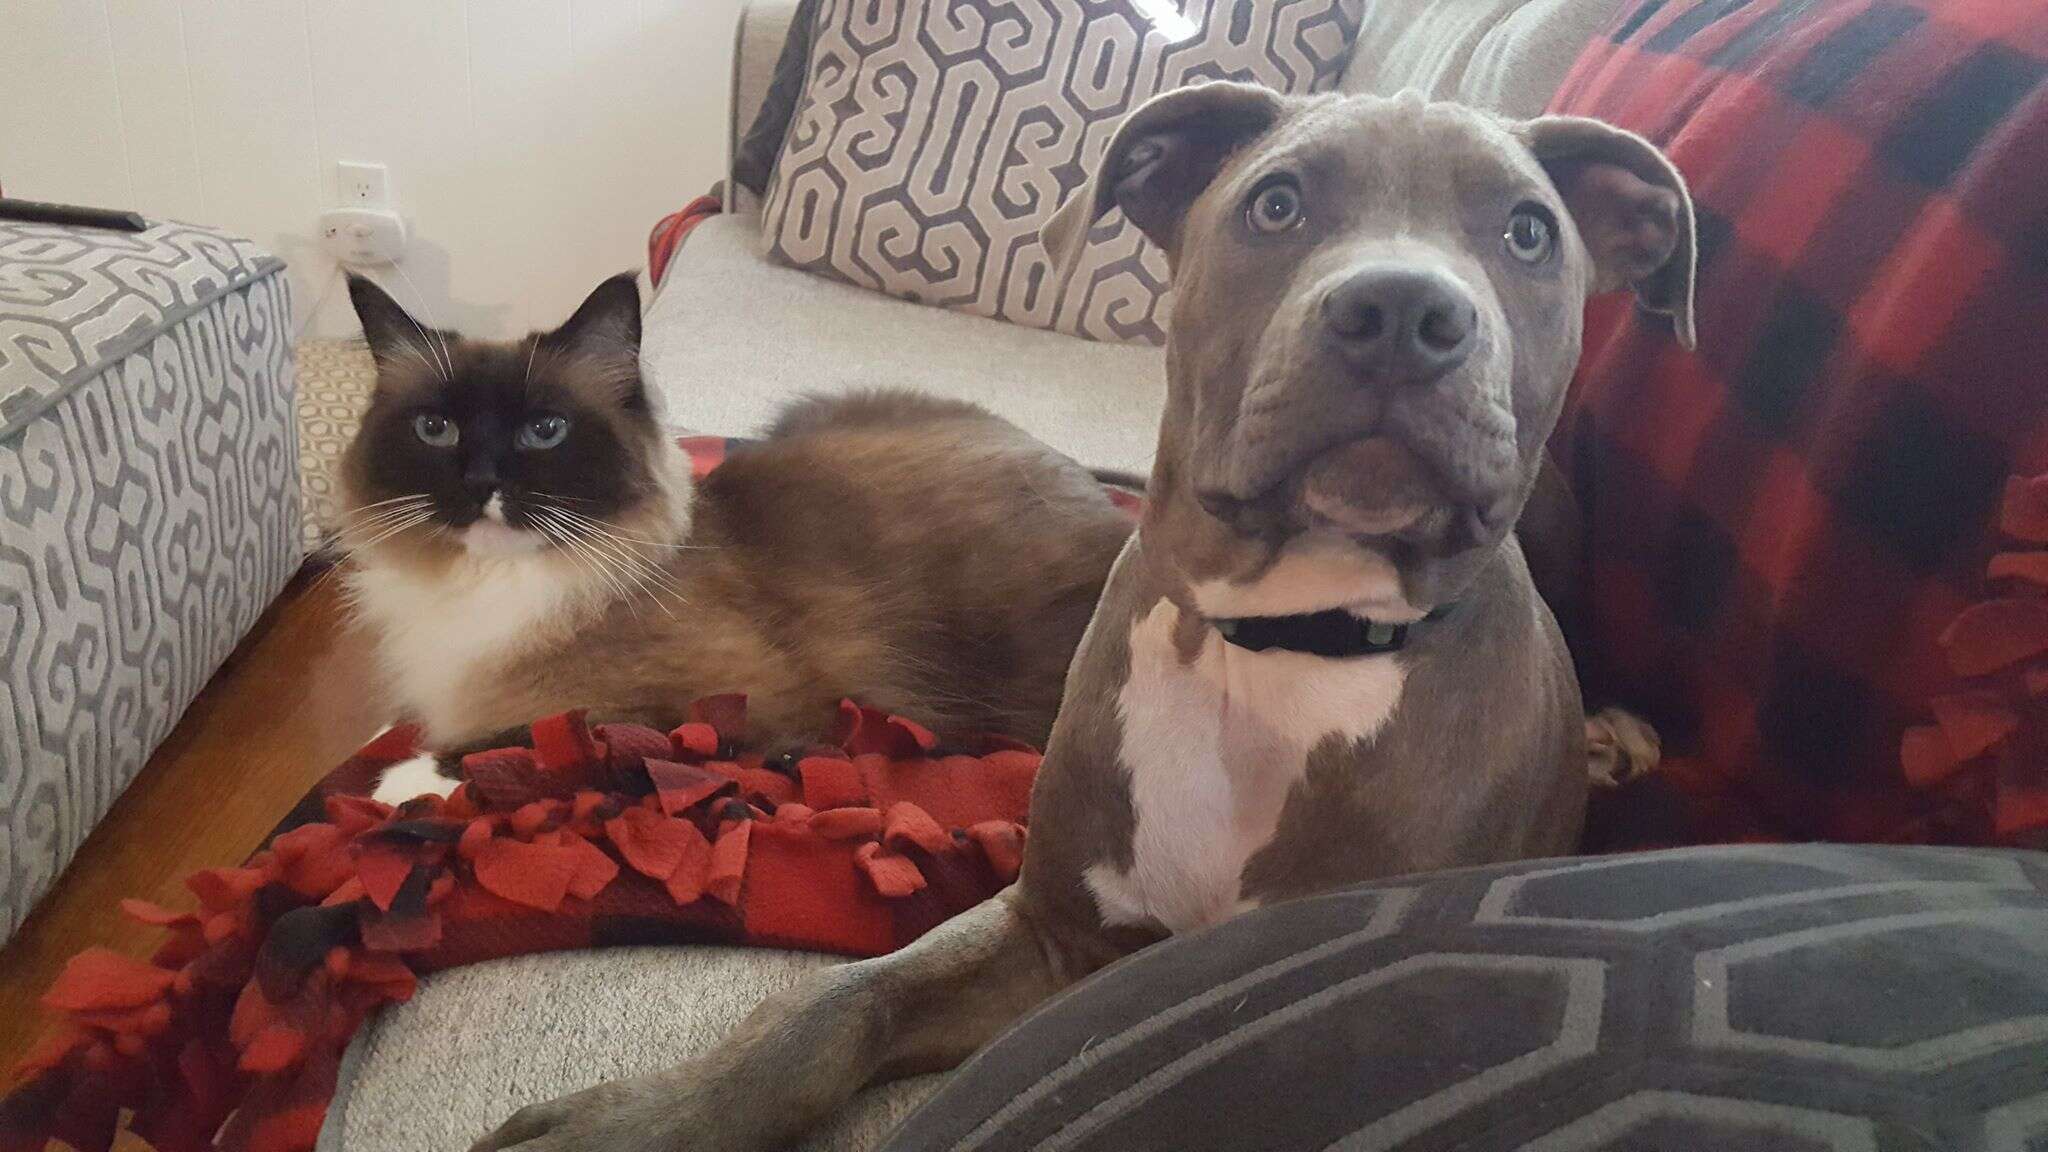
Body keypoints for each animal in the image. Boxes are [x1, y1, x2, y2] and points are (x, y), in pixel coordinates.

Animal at [475, 87, 1695, 1147]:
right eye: (1277, 204)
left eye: (1528, 232)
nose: (1403, 311)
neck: (1281, 650)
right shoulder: (1048, 931)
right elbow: (829, 1008)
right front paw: (649, 1120)